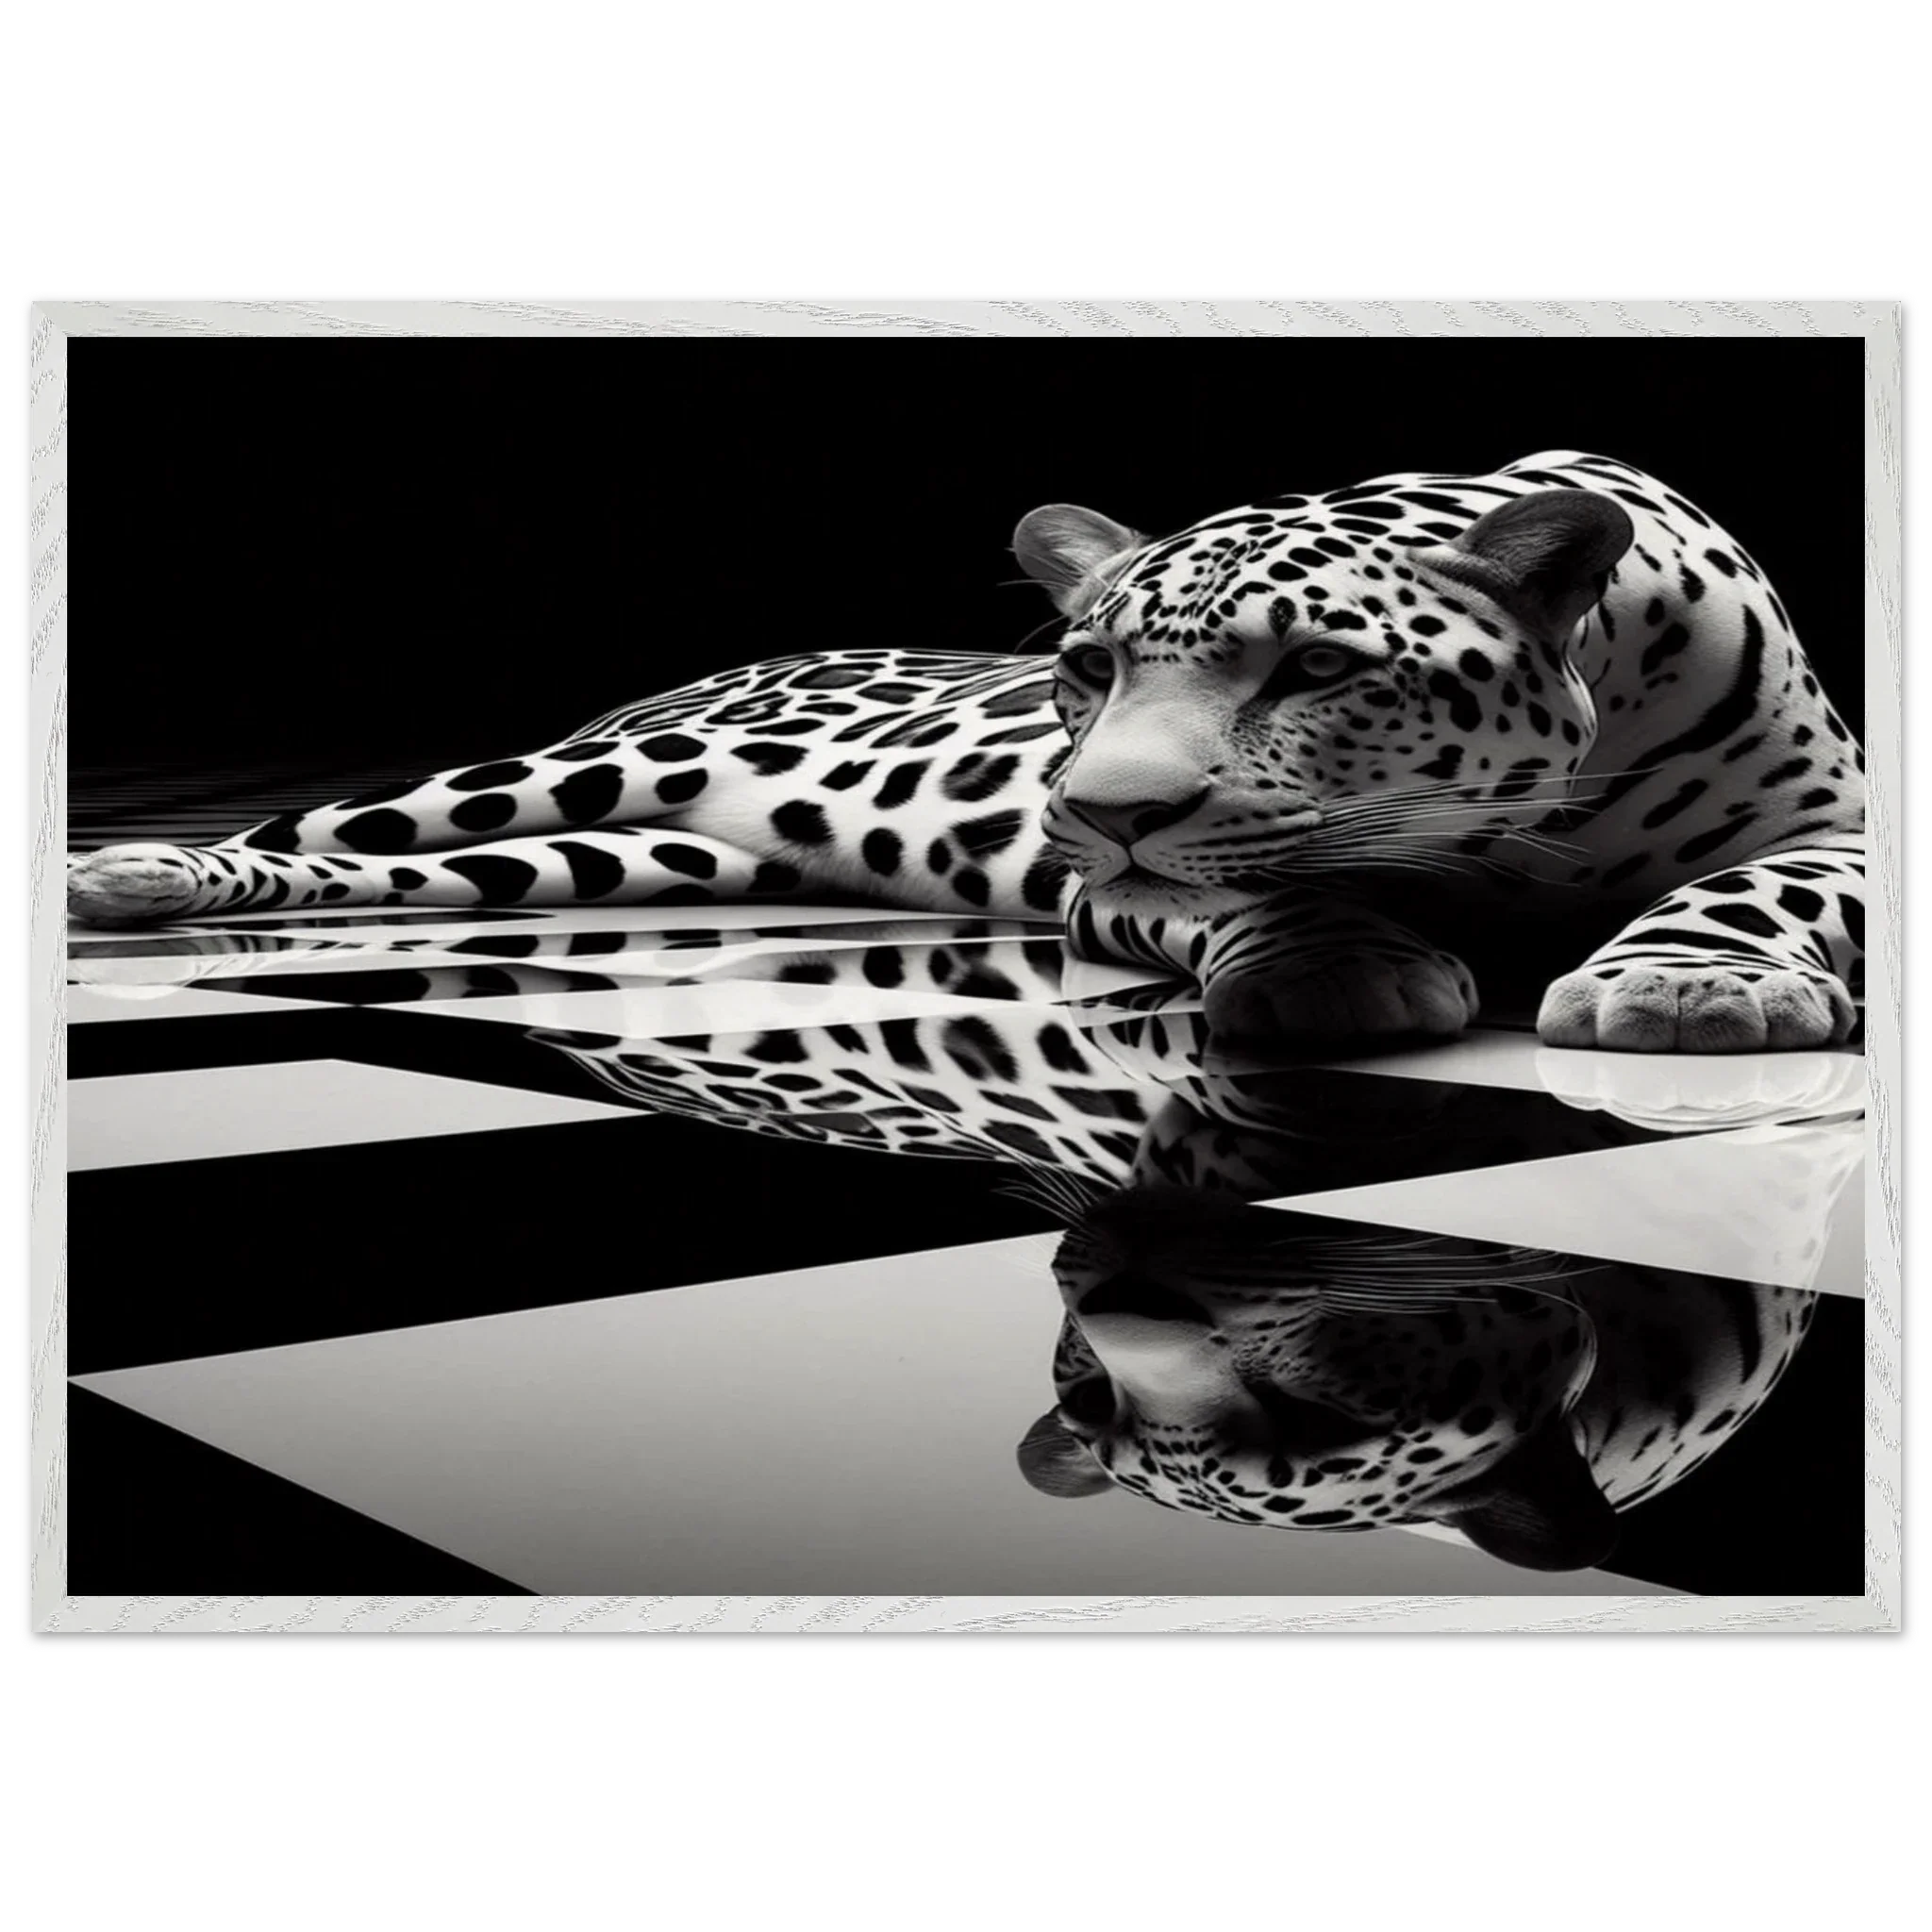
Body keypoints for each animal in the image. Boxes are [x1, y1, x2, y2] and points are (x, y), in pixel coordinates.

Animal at [66, 451, 1866, 1056]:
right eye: (1084, 669)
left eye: (1314, 667)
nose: (1098, 807)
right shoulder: (1113, 893)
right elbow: (1260, 890)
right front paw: (1334, 969)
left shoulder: (1840, 829)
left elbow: (1758, 889)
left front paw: (1691, 984)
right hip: (561, 778)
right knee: (330, 824)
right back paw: (136, 873)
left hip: (633, 856)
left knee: (445, 872)